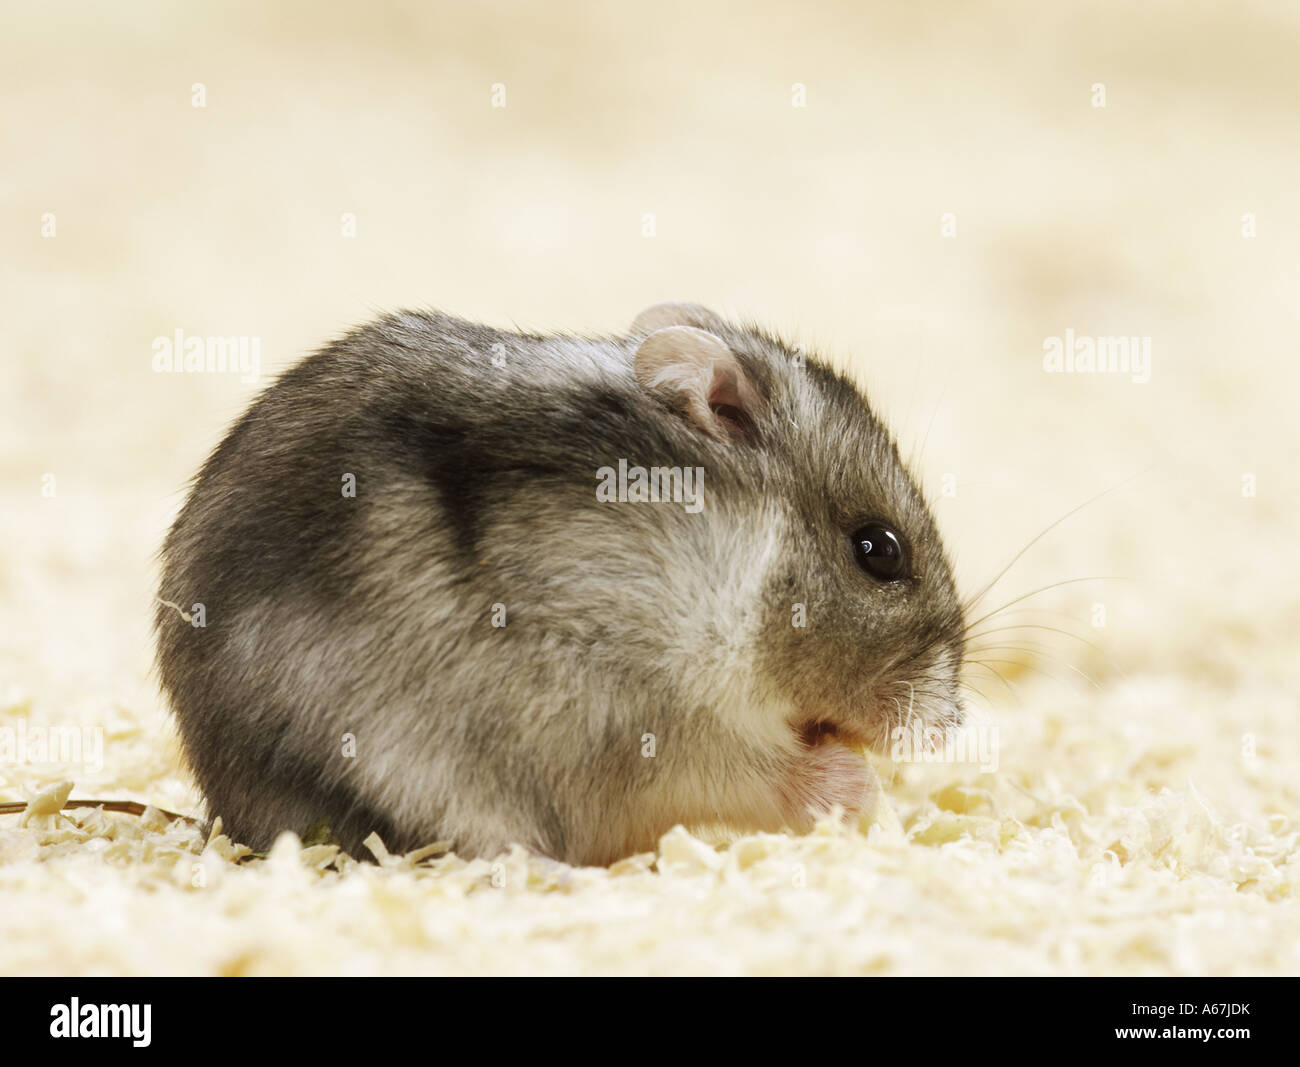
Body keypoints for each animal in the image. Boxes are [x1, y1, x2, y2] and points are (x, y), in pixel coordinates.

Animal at [155, 303, 965, 866]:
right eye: (878, 550)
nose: (949, 727)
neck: (722, 560)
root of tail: (224, 812)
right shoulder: (642, 713)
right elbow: (750, 767)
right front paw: (861, 790)